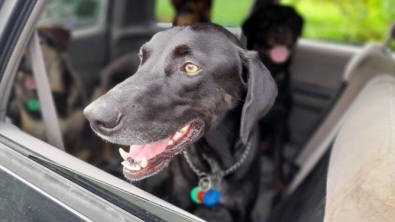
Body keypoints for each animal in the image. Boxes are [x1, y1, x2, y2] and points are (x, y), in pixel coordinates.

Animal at [241, 3, 304, 191]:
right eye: (265, 22)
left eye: (290, 21)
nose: (280, 30)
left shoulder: (280, 122)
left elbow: (278, 153)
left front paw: (280, 181)